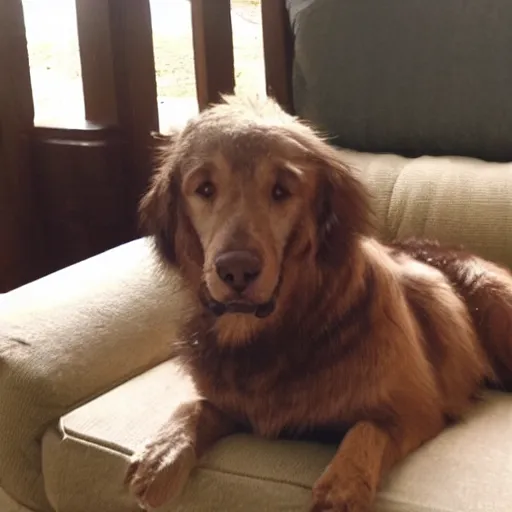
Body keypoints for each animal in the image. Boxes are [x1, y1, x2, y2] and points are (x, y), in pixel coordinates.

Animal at [125, 96, 512, 512]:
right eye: (205, 188)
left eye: (281, 191)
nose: (236, 270)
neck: (284, 331)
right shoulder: (237, 405)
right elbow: (197, 407)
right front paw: (161, 452)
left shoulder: (417, 409)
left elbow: (366, 428)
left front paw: (341, 488)